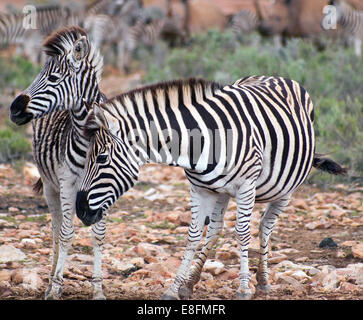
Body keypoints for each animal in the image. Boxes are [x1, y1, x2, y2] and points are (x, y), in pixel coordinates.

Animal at [9, 26, 107, 300]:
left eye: (53, 78)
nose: (13, 109)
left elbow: (98, 234)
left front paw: (98, 289)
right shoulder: (67, 183)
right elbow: (65, 234)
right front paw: (55, 288)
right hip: (52, 187)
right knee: (56, 229)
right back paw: (52, 281)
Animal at [74, 76, 346, 298]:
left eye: (101, 158)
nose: (80, 210)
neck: (202, 141)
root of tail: (276, 76)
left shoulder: (246, 187)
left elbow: (242, 233)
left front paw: (243, 289)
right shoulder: (200, 189)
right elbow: (194, 236)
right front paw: (175, 288)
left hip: (286, 190)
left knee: (264, 227)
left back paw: (263, 281)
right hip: (221, 191)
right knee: (216, 229)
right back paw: (191, 282)